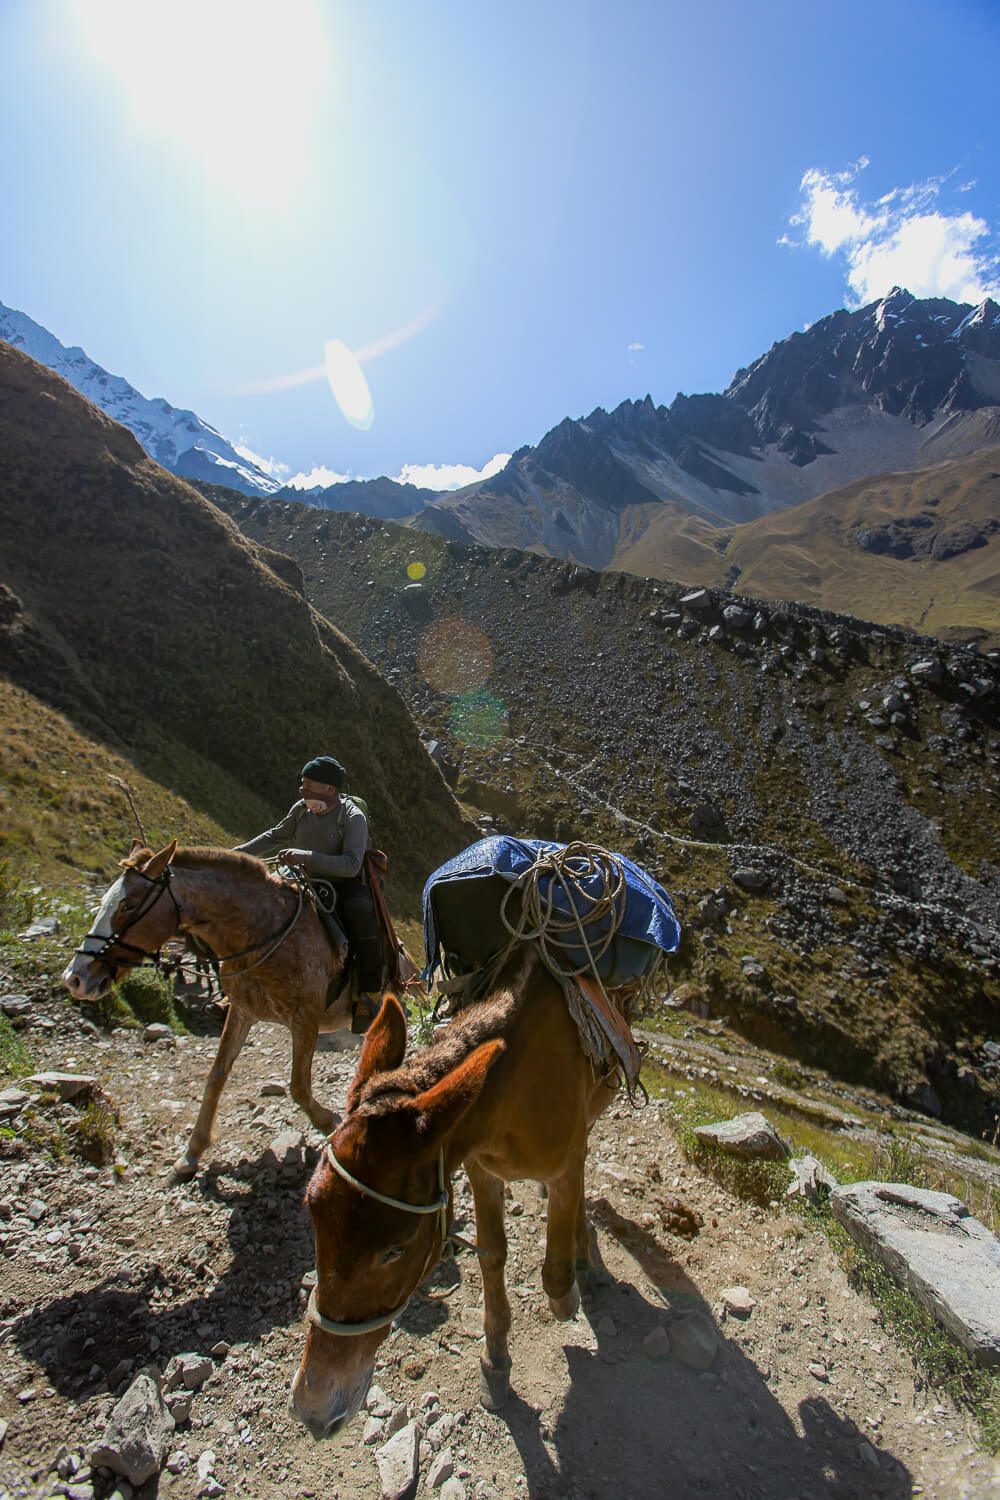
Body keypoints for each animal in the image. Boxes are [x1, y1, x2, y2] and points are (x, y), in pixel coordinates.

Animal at [64, 840, 407, 1176]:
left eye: (129, 905)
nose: (75, 978)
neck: (259, 931)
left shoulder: (305, 1019)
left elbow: (298, 1086)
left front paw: (329, 1122)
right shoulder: (242, 1012)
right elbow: (217, 1075)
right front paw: (192, 1151)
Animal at [289, 948, 617, 1440]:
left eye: (394, 1250)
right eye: (313, 1222)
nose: (312, 1410)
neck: (517, 1091)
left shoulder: (566, 1160)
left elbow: (556, 1274)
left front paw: (567, 1294)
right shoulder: (481, 1169)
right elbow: (492, 1253)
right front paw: (495, 1361)